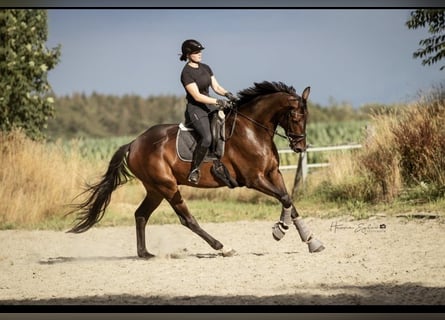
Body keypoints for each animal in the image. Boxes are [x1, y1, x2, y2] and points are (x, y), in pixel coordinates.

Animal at [68, 82, 322, 258]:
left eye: (307, 116)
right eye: (295, 116)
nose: (300, 147)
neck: (253, 130)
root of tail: (133, 143)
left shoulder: (273, 174)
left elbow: (289, 200)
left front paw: (311, 241)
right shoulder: (255, 179)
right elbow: (285, 198)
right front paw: (280, 229)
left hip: (155, 189)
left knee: (140, 214)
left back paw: (144, 253)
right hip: (168, 187)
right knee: (187, 220)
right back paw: (223, 247)